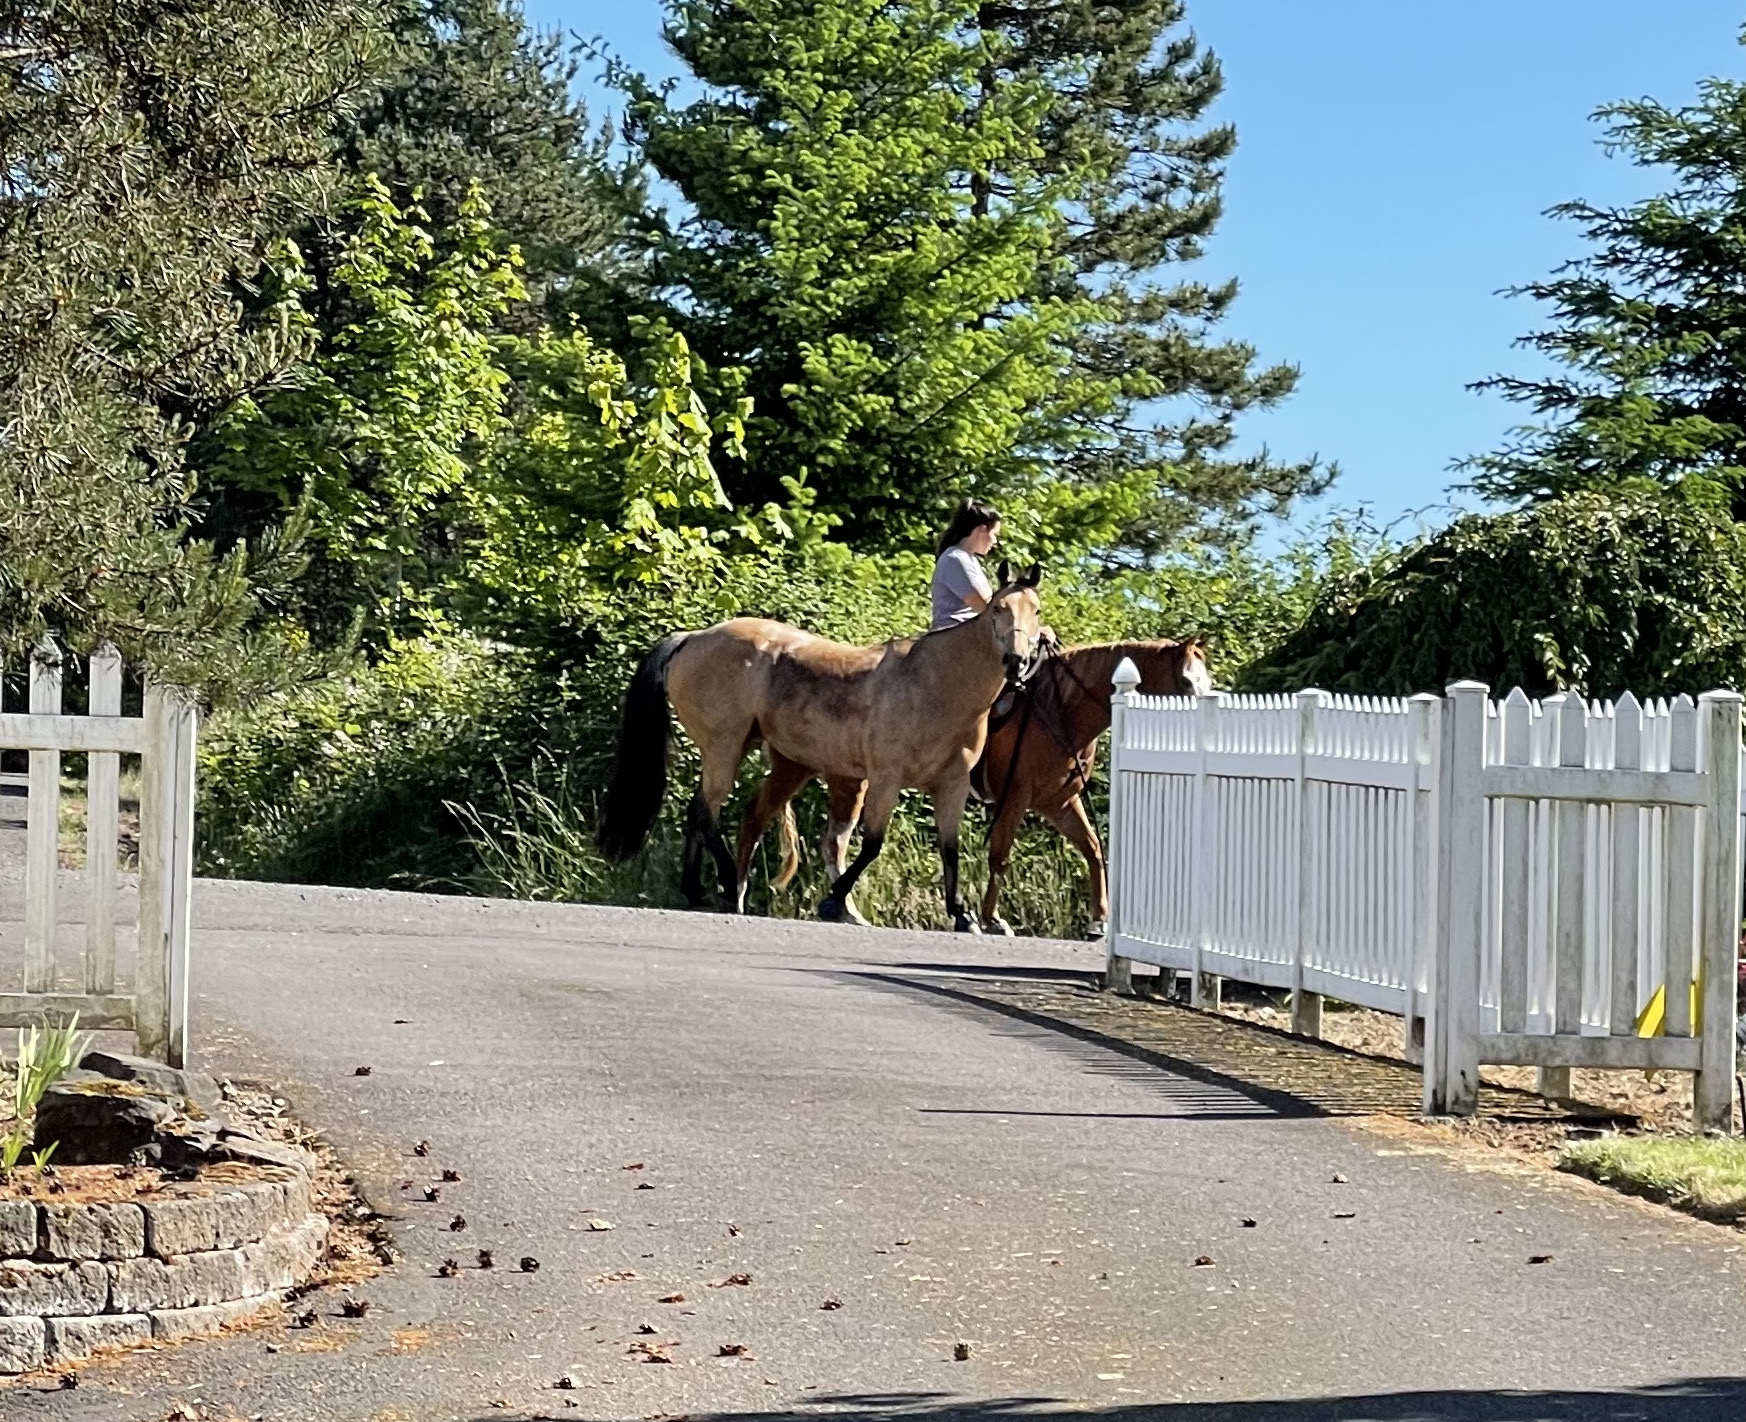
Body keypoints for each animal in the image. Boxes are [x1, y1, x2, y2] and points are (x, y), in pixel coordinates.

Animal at [596, 564, 1043, 931]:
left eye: (1036, 611)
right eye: (998, 609)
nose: (1016, 662)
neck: (937, 684)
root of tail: (692, 638)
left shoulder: (951, 785)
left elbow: (950, 849)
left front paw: (962, 915)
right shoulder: (886, 778)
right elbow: (872, 843)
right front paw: (833, 903)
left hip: (762, 756)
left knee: (709, 810)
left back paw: (700, 890)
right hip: (725, 746)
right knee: (708, 810)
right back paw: (724, 882)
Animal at [736, 638, 1209, 938]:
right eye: (1186, 681)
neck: (1059, 710)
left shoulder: (1059, 803)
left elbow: (1094, 851)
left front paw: (1098, 921)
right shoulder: (1017, 798)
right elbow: (1000, 856)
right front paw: (992, 918)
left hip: (844, 782)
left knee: (823, 837)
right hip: (807, 771)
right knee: (767, 819)